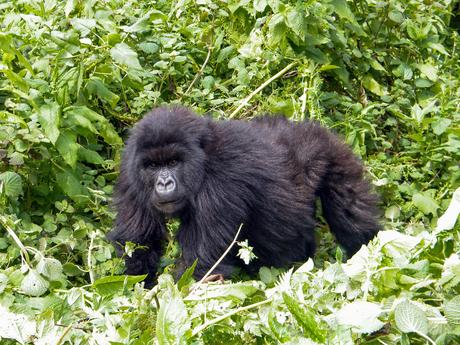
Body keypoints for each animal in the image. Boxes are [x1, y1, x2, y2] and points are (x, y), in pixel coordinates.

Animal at [108, 106, 380, 280]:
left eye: (174, 162)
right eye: (153, 166)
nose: (164, 183)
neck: (203, 157)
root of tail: (307, 126)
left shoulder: (220, 185)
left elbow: (203, 267)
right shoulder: (131, 173)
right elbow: (138, 242)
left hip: (330, 151)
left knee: (349, 210)